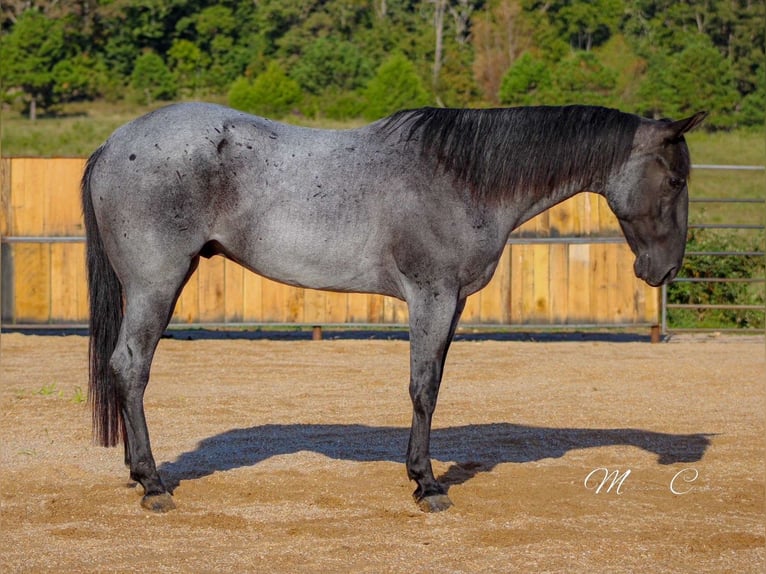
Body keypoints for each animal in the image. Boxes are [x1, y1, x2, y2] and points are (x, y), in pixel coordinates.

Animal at [81, 103, 706, 513]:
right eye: (676, 180)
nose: (665, 270)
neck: (460, 177)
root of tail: (115, 144)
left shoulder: (452, 303)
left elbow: (434, 384)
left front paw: (420, 474)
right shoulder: (431, 296)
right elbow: (423, 387)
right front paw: (426, 485)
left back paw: (140, 474)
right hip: (157, 282)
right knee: (131, 366)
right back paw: (153, 484)